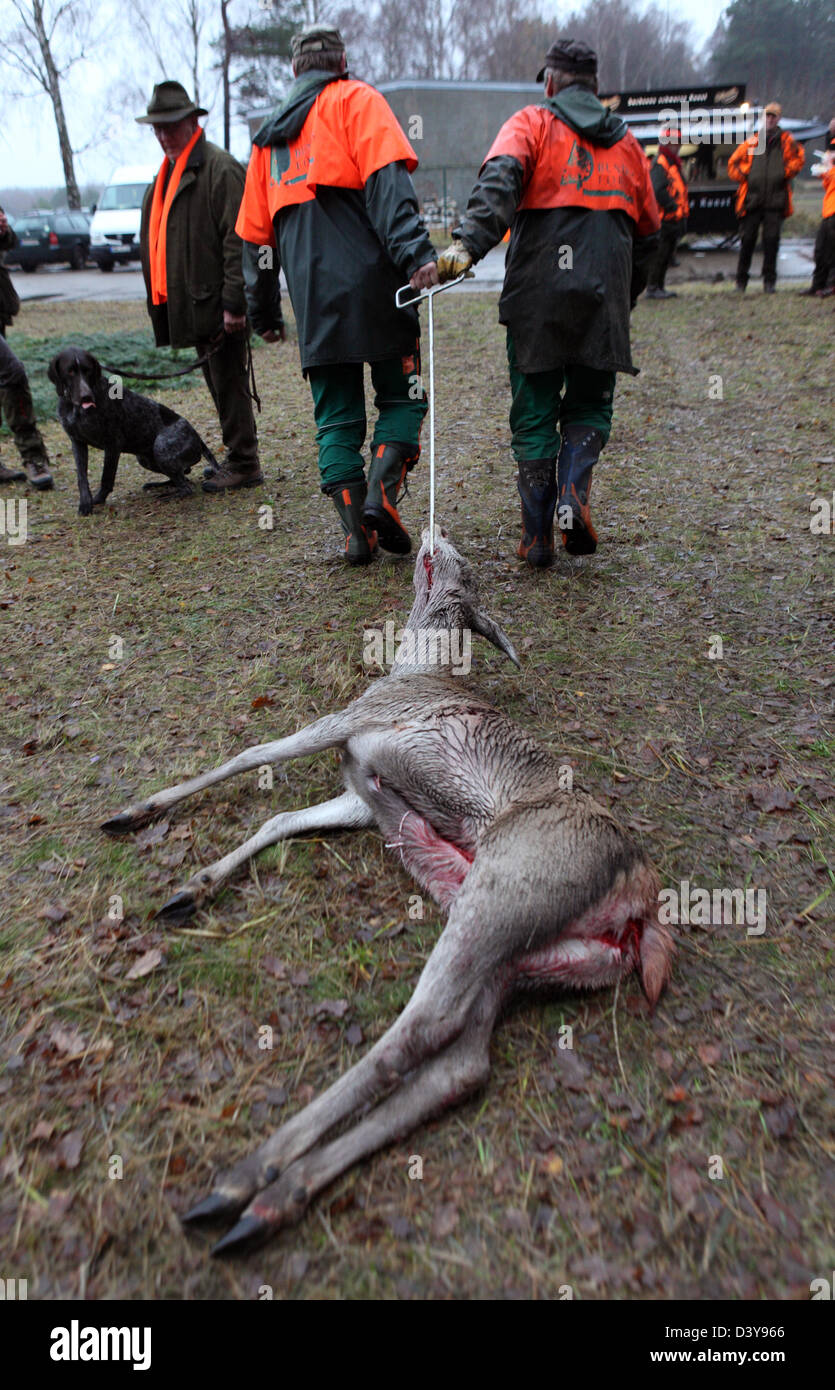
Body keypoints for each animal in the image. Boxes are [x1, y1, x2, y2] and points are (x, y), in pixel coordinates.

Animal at [47, 347, 218, 517]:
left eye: (88, 370)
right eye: (70, 372)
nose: (86, 397)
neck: (75, 407)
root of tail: (197, 437)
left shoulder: (113, 444)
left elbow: (106, 478)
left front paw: (99, 499)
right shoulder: (77, 442)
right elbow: (82, 478)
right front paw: (85, 503)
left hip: (161, 450)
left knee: (186, 488)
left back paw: (168, 495)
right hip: (146, 459)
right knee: (184, 474)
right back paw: (159, 484)